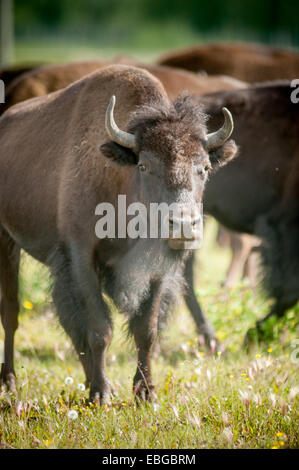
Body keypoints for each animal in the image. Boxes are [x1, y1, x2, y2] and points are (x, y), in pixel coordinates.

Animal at [0, 64, 239, 402]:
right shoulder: (81, 259)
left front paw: (146, 393)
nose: (183, 225)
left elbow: (146, 330)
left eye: (204, 167)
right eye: (144, 166)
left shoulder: (158, 271)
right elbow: (100, 329)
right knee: (11, 312)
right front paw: (101, 395)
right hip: (6, 241)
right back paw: (10, 383)